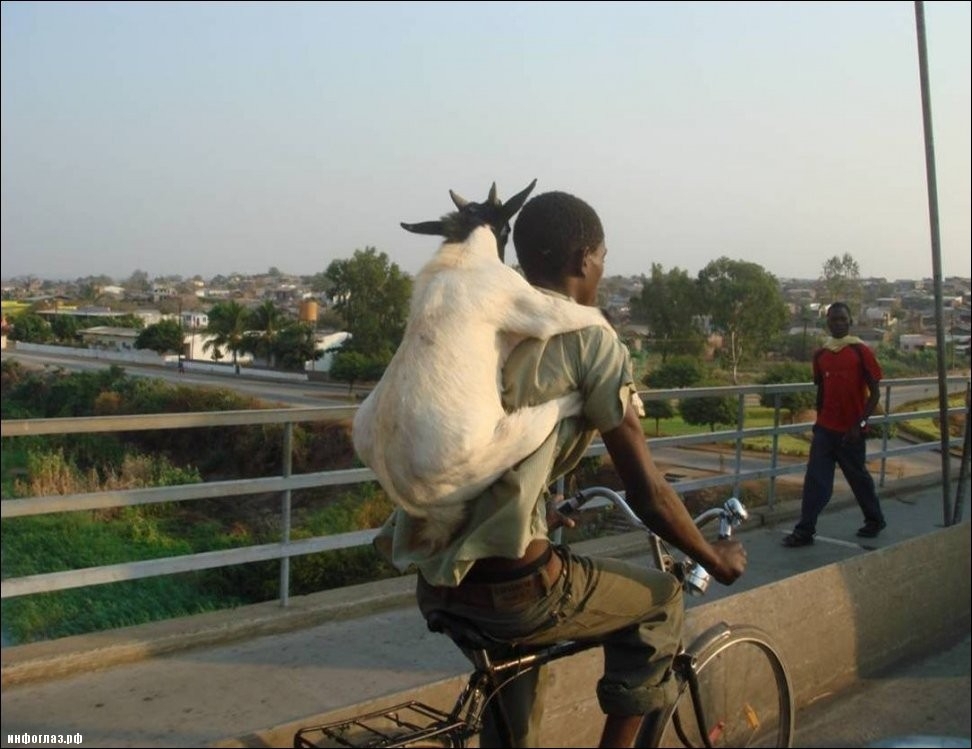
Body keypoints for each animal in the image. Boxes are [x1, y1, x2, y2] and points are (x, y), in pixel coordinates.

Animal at [352, 180, 616, 544]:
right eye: (506, 228)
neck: (463, 252)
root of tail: (413, 498)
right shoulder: (537, 309)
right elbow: (594, 315)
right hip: (504, 445)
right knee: (546, 416)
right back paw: (571, 401)